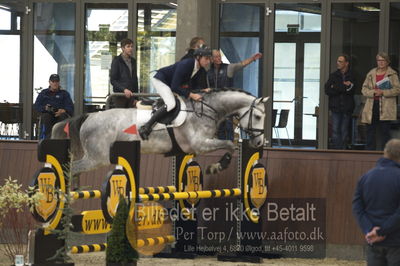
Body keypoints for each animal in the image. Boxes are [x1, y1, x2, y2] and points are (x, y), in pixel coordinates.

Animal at [50, 89, 268, 177]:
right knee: (70, 168)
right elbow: (230, 145)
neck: (205, 110)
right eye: (258, 117)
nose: (259, 143)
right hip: (97, 158)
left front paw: (217, 166)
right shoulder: (200, 144)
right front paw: (216, 167)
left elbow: (230, 145)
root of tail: (89, 116)